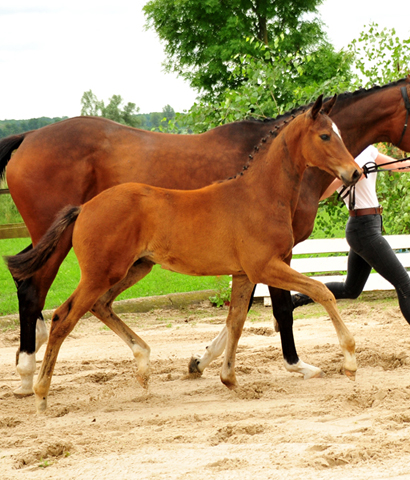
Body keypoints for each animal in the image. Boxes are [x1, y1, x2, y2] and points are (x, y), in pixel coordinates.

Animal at [0, 77, 410, 396]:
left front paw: (203, 361)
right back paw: (28, 375)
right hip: (75, 250)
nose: (355, 173)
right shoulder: (272, 258)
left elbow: (239, 316)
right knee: (37, 291)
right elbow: (283, 307)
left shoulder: (256, 264)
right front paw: (299, 364)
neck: (262, 187)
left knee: (68, 295)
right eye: (325, 135)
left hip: (130, 264)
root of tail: (28, 136)